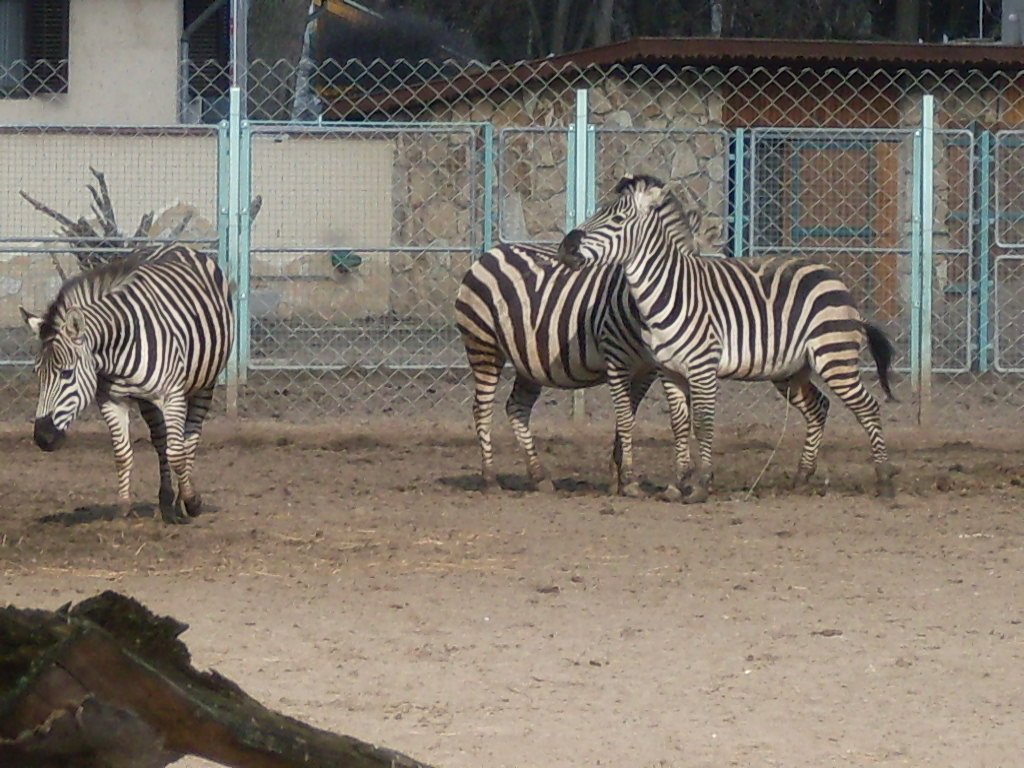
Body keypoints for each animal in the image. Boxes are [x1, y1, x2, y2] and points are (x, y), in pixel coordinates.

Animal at [20, 244, 234, 523]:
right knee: (161, 442)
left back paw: (183, 501)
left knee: (189, 438)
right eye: (38, 374)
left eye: (66, 373)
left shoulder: (172, 396)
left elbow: (177, 453)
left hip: (204, 383)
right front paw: (123, 507)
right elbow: (122, 454)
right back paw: (167, 502)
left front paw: (192, 501)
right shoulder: (111, 400)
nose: (42, 438)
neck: (117, 349)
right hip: (147, 401)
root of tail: (180, 246)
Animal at [455, 241, 660, 495]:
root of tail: (491, 253)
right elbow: (624, 418)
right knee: (482, 409)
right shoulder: (617, 361)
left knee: (517, 407)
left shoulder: (647, 371)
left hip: (528, 361)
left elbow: (628, 418)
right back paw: (490, 479)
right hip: (483, 344)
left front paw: (616, 476)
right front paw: (627, 480)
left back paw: (539, 476)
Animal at [557, 174, 898, 502]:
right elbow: (679, 425)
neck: (668, 290)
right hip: (791, 369)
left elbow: (703, 423)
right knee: (819, 407)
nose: (565, 248)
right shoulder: (669, 371)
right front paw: (677, 484)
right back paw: (802, 477)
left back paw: (884, 480)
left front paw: (701, 486)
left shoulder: (702, 367)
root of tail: (834, 277)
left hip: (834, 356)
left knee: (868, 407)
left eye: (617, 218)